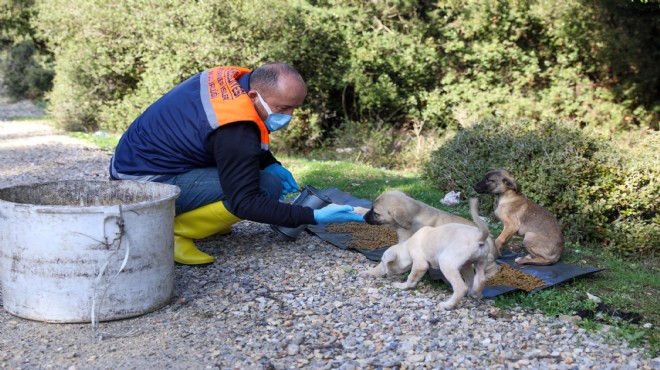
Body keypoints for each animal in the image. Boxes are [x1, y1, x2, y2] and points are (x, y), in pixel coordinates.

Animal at [356, 189, 500, 278]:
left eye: (376, 213)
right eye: (371, 208)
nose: (364, 218)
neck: (414, 214)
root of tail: (489, 238)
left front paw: (372, 272)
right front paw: (357, 209)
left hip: (484, 259)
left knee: (494, 267)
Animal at [358, 198, 492, 310]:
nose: (385, 274)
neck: (408, 245)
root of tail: (480, 237)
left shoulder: (420, 264)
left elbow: (411, 277)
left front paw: (403, 286)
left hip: (447, 262)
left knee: (461, 287)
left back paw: (448, 305)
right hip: (473, 263)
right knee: (479, 279)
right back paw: (475, 294)